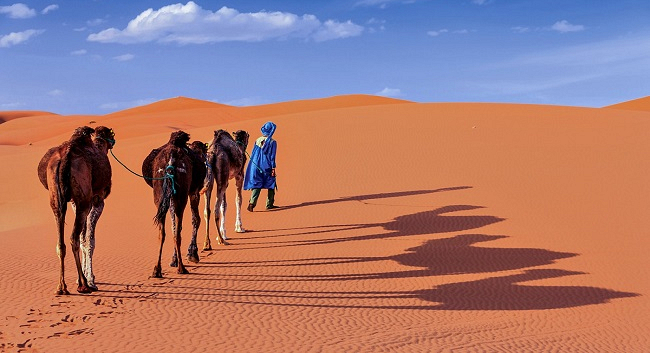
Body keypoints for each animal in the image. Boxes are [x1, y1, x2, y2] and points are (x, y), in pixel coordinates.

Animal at [37, 125, 115, 292]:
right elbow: (89, 240)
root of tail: (66, 156)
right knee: (73, 238)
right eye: (111, 134)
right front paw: (91, 279)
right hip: (83, 201)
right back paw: (83, 284)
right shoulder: (97, 202)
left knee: (61, 241)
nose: (113, 142)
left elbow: (83, 238)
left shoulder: (73, 202)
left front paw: (86, 276)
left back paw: (62, 286)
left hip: (57, 198)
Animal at [142, 131, 205, 276]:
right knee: (177, 231)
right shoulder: (193, 192)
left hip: (160, 196)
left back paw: (157, 270)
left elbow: (173, 225)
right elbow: (196, 220)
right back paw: (181, 268)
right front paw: (192, 254)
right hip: (181, 196)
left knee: (162, 232)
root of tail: (170, 160)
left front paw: (174, 259)